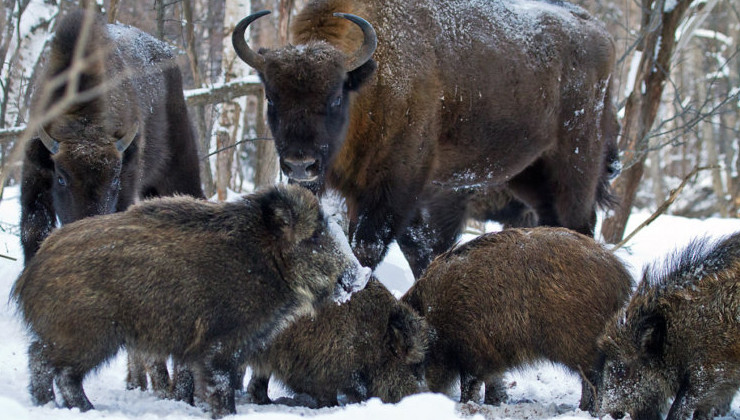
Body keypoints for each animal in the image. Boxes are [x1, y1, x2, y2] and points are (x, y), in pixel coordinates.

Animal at [11, 185, 370, 418]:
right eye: (314, 235)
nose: (362, 275)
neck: (266, 262)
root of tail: (31, 272)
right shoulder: (219, 343)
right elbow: (220, 386)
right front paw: (224, 414)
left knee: (41, 359)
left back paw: (49, 405)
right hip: (88, 335)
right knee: (54, 366)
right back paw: (82, 409)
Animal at [231, 0, 620, 278]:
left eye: (335, 97)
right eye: (271, 97)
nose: (301, 164)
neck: (372, 79)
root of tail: (599, 33)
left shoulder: (395, 188)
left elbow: (368, 248)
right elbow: (418, 249)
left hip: (574, 166)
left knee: (579, 222)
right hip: (528, 175)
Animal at [402, 228, 632, 412]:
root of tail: (621, 275)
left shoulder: (472, 350)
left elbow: (470, 384)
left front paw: (468, 404)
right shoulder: (490, 356)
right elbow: (493, 383)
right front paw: (494, 403)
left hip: (579, 344)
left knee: (594, 379)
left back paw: (587, 411)